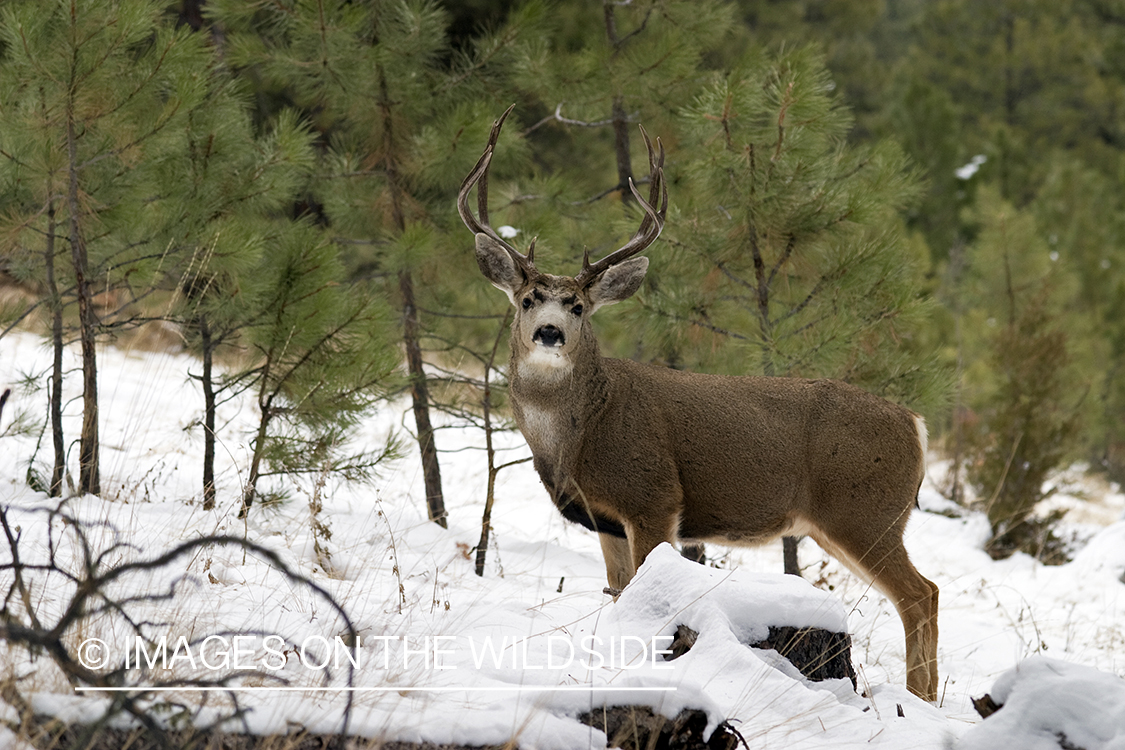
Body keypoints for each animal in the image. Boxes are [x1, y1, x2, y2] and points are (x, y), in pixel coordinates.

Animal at [457, 107, 940, 702]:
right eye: (528, 300)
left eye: (577, 306)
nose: (550, 332)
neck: (583, 431)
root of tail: (916, 423)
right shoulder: (606, 520)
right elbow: (618, 594)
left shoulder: (654, 498)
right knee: (923, 592)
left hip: (865, 509)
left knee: (920, 593)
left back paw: (921, 699)